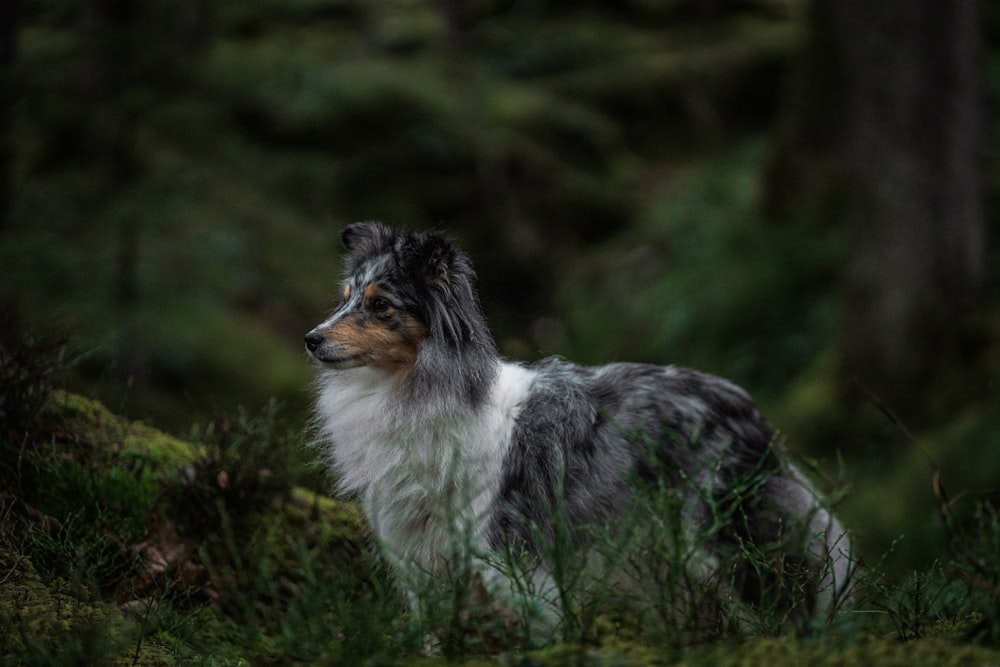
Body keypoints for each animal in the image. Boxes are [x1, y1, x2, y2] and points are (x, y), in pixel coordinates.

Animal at [304, 223, 852, 640]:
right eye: (346, 298)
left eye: (380, 305)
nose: (310, 339)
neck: (413, 390)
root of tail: (749, 409)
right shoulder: (419, 554)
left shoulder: (507, 553)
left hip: (719, 541)